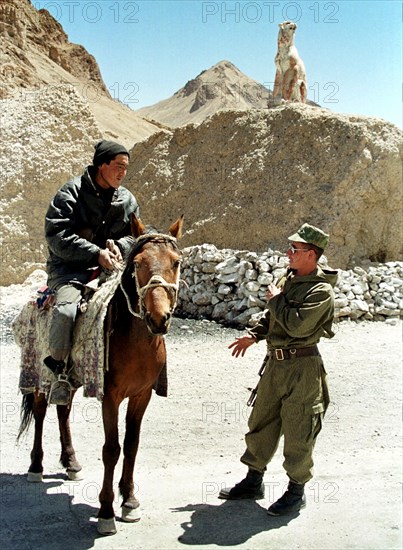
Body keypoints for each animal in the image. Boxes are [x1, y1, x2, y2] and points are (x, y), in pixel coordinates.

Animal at [17, 216, 185, 540]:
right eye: (138, 264)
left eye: (176, 262)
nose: (159, 319)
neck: (135, 340)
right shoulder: (111, 396)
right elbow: (112, 449)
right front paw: (106, 512)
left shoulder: (142, 395)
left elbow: (131, 445)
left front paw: (129, 500)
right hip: (39, 372)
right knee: (42, 413)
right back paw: (36, 466)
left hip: (69, 379)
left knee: (63, 410)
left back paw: (71, 462)